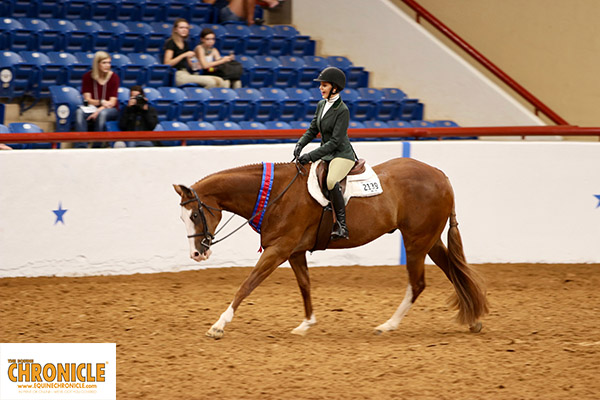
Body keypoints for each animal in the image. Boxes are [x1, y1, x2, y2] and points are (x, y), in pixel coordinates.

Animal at [172, 158, 488, 340]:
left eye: (196, 215)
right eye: (182, 218)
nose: (197, 254)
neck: (275, 194)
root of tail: (440, 175)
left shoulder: (279, 249)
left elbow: (247, 284)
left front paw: (219, 325)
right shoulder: (294, 251)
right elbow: (305, 285)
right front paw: (306, 324)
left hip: (416, 241)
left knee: (418, 283)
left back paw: (388, 325)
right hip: (429, 240)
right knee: (451, 270)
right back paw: (473, 321)